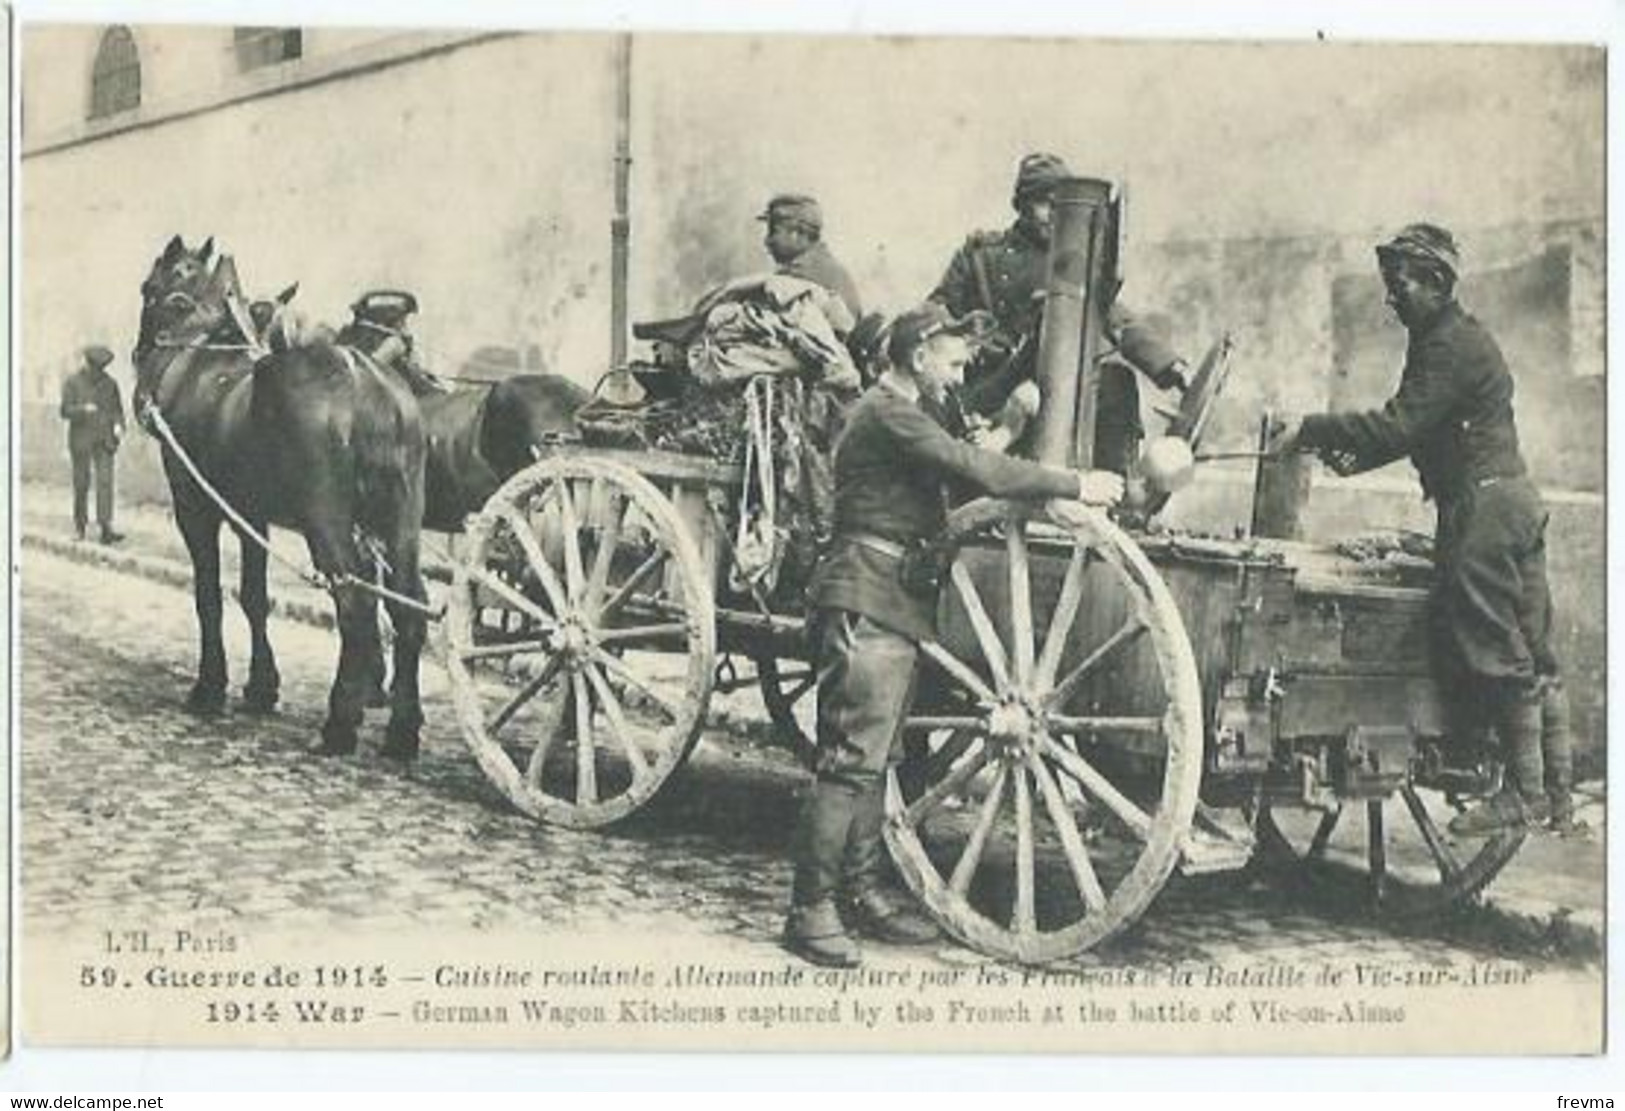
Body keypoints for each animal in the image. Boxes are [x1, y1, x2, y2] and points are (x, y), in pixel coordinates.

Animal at [131, 237, 432, 760]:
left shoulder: (195, 506)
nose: (136, 353)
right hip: (400, 519)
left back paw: (340, 722)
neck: (198, 358)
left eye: (150, 288)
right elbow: (254, 595)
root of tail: (371, 386)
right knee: (408, 605)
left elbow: (209, 594)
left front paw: (210, 686)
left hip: (325, 519)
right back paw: (402, 729)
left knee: (355, 602)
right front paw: (261, 686)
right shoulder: (250, 514)